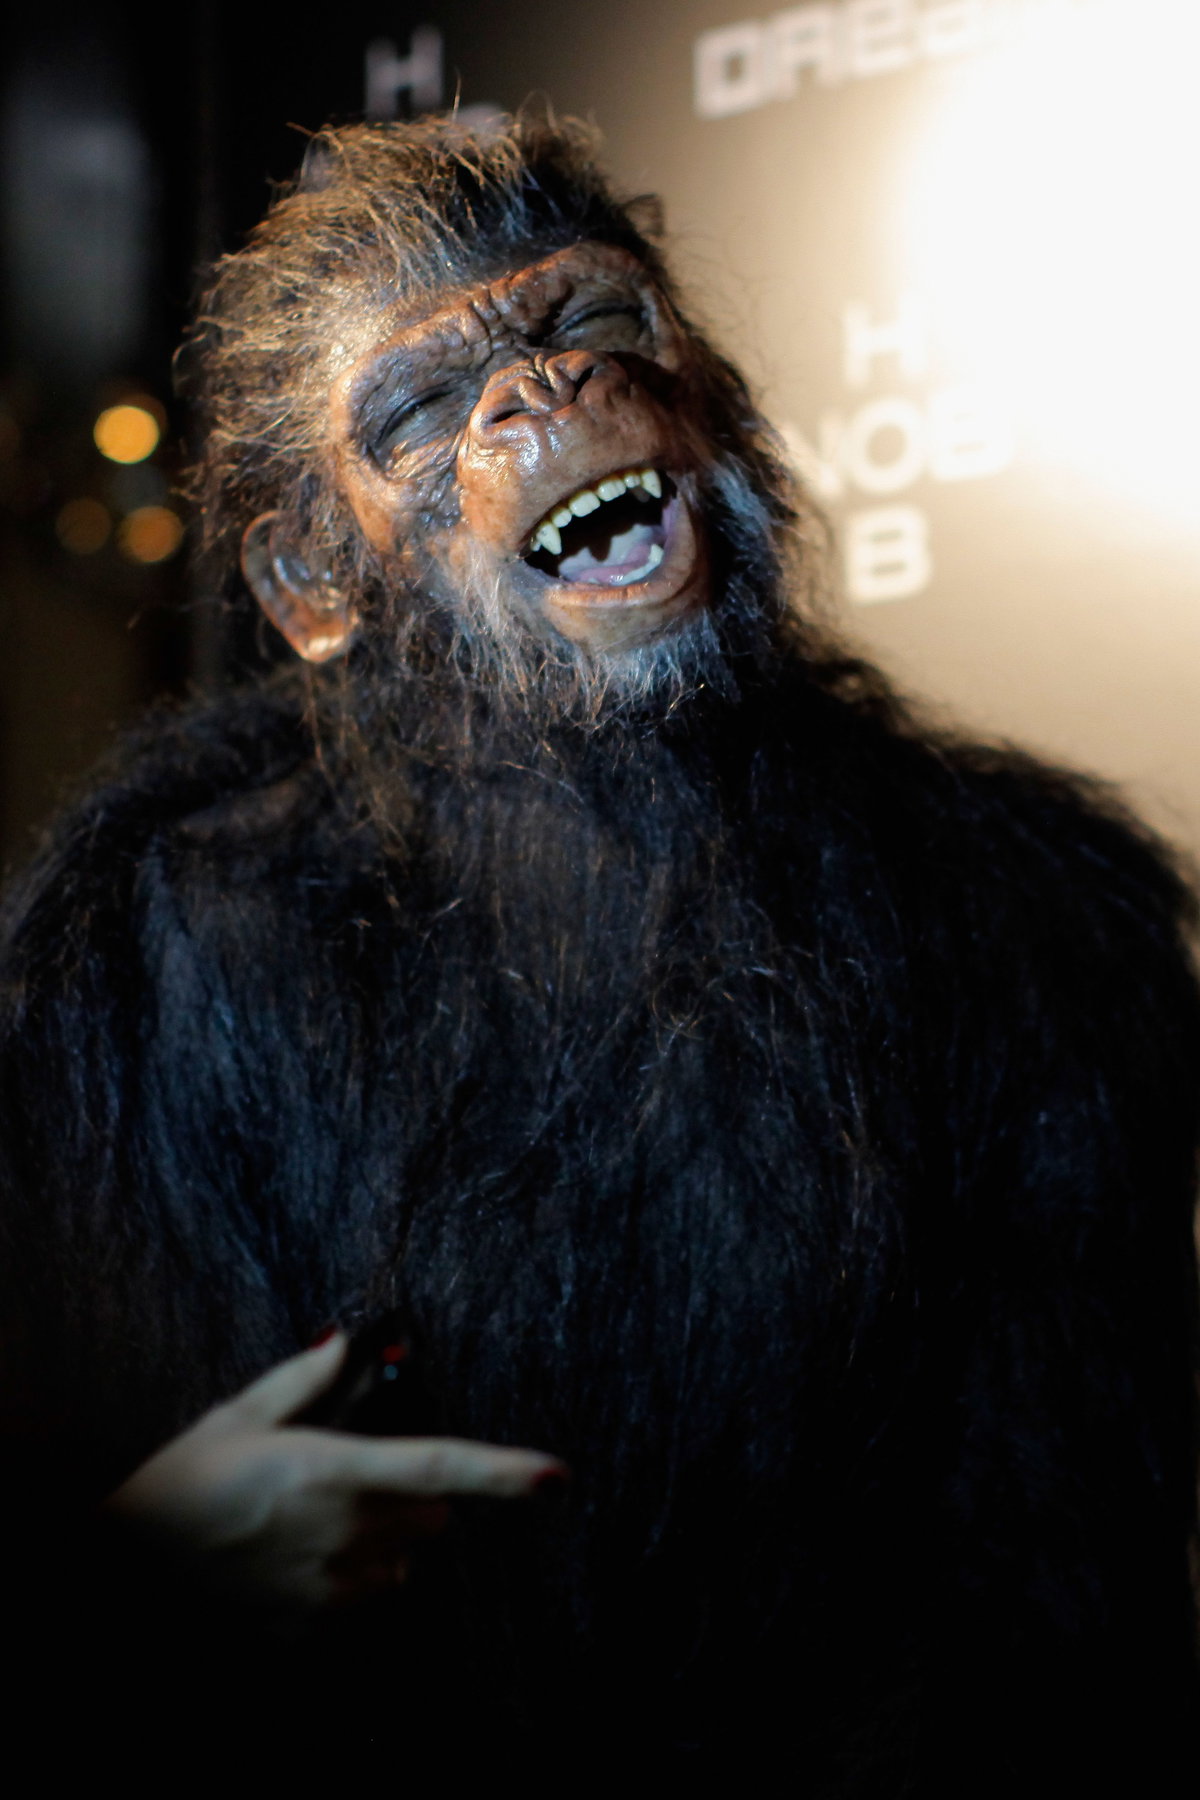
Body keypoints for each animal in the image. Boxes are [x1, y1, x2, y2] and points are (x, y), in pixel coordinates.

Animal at [0, 114, 1197, 1790]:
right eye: (425, 408)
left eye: (583, 320)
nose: (546, 393)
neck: (580, 781)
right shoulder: (105, 987)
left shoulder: (1064, 940)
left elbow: (1037, 1547)